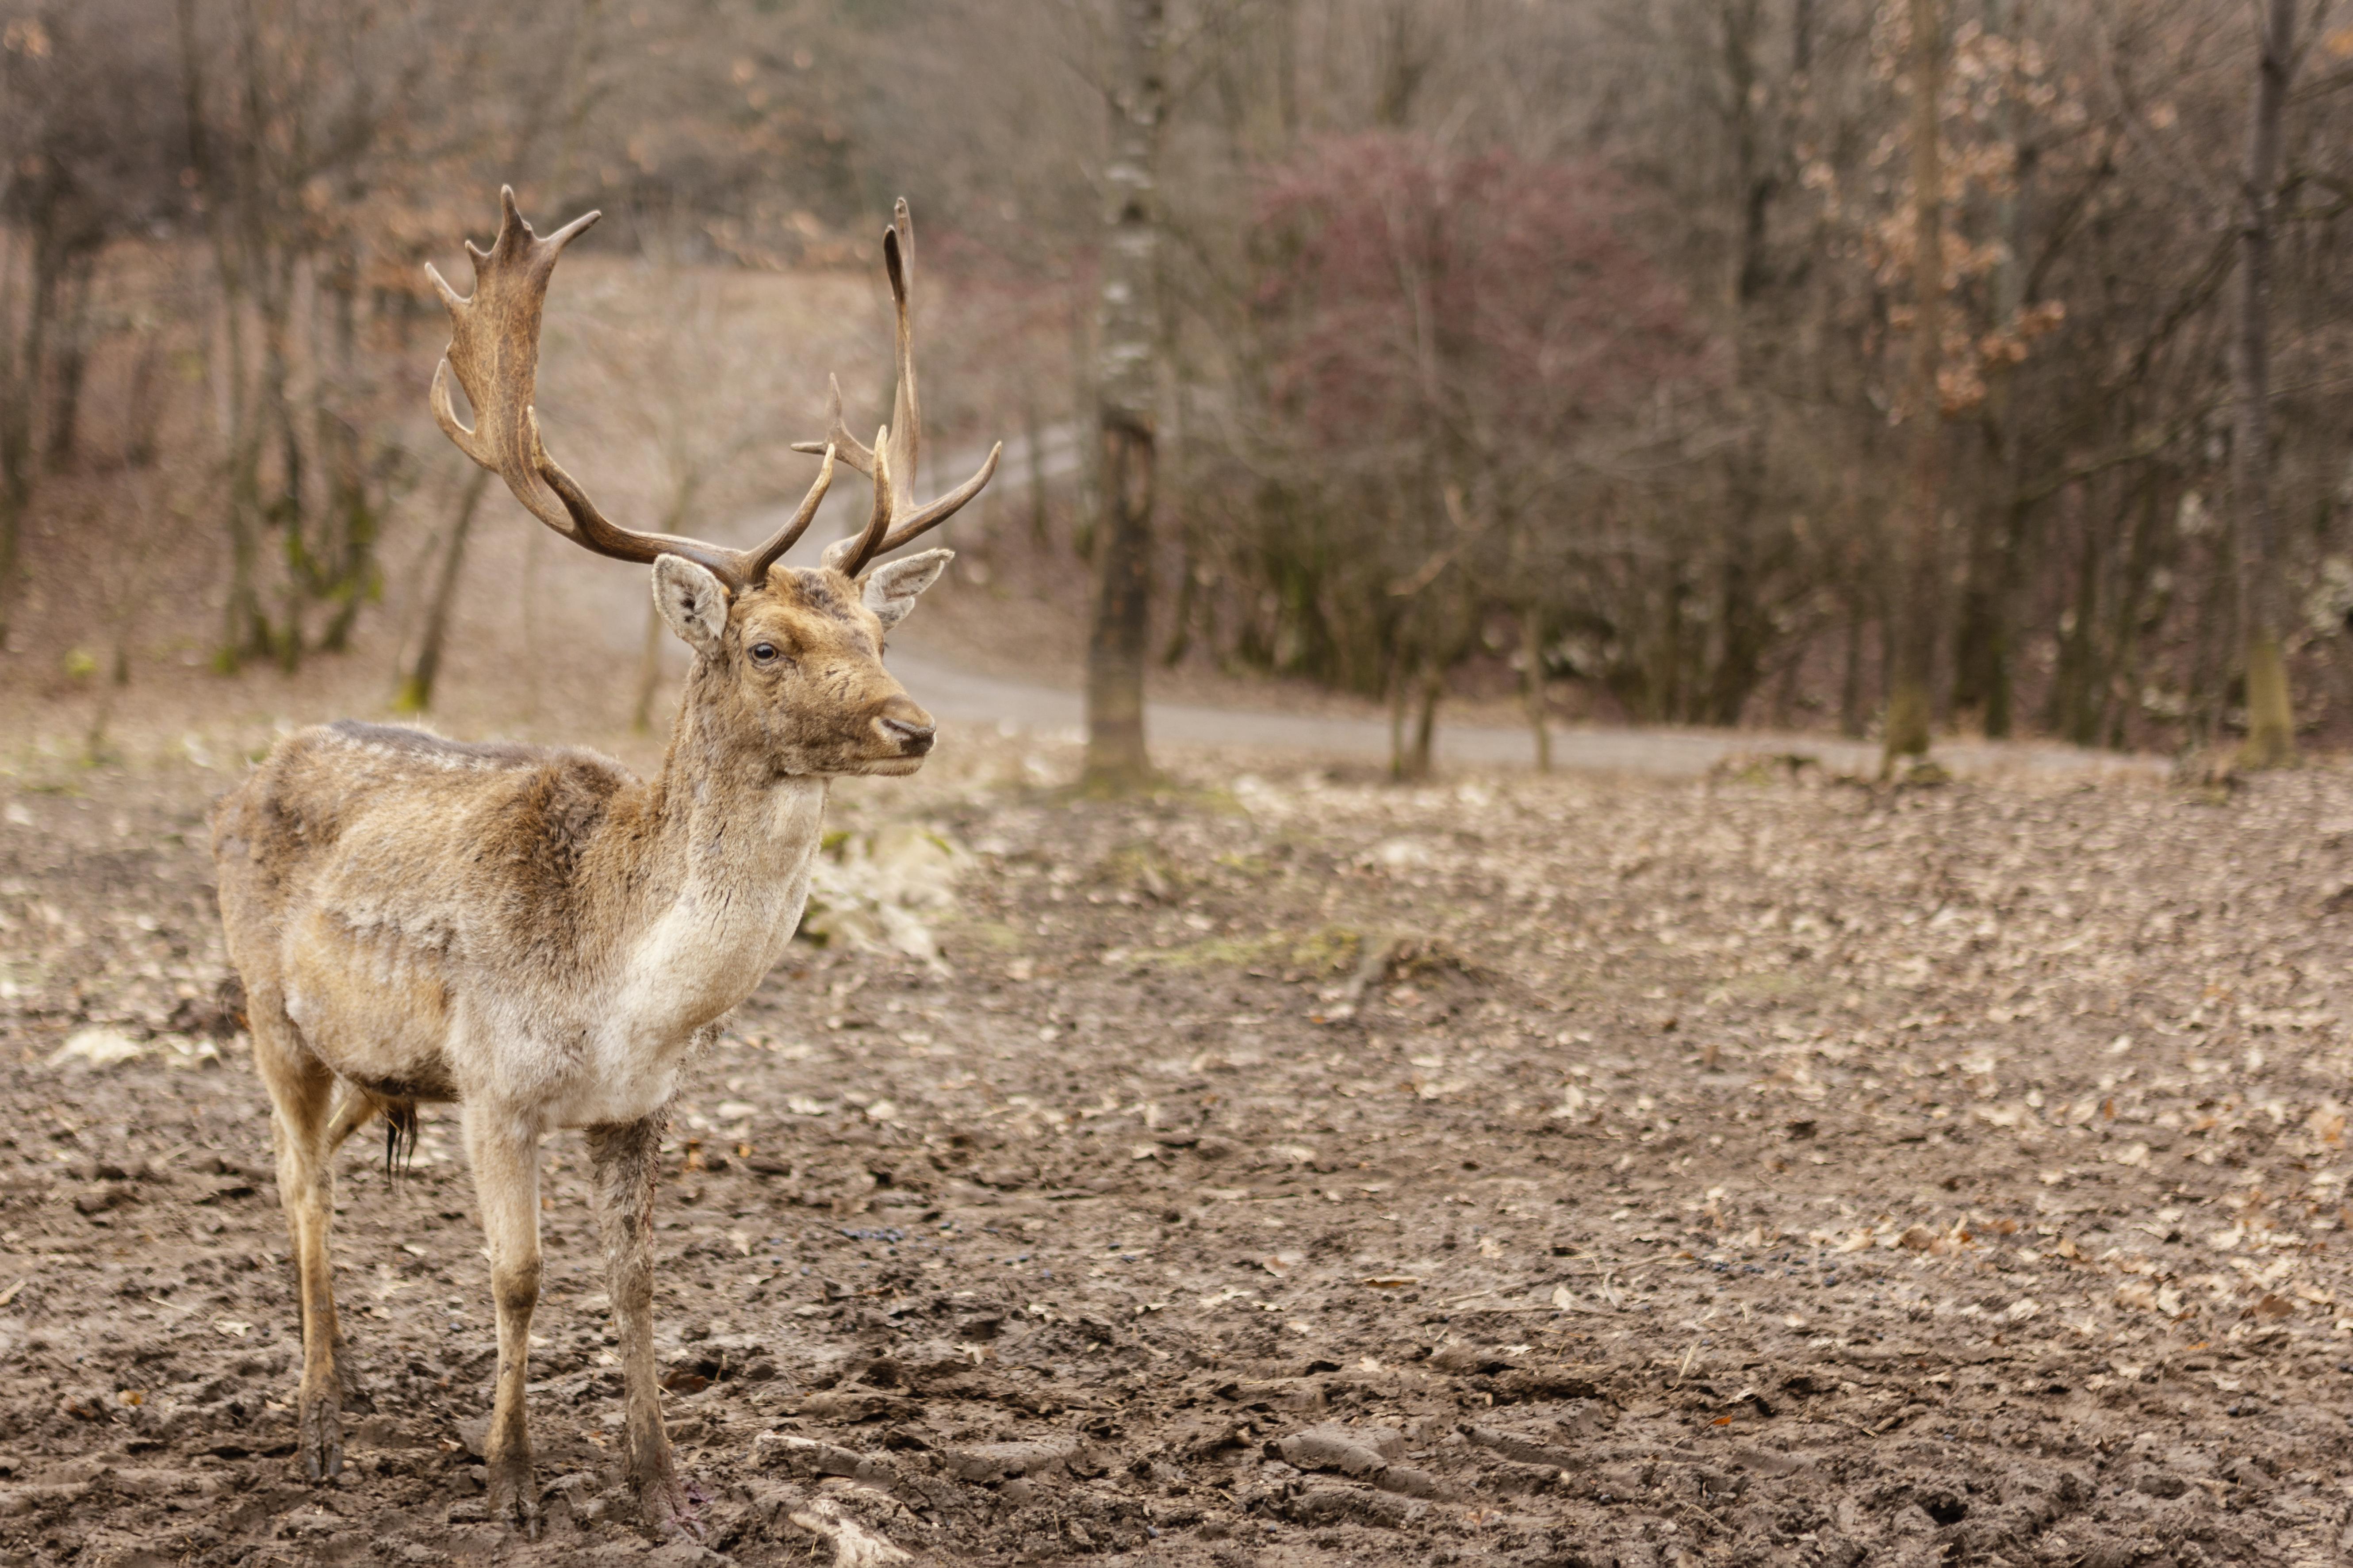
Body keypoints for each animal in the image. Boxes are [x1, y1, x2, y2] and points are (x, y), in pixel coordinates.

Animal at [211, 190, 1002, 1542]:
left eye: (879, 632)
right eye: (764, 645)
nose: (913, 726)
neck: (621, 994)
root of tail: (262, 760)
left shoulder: (640, 1105)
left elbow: (636, 1284)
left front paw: (664, 1488)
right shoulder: (493, 1081)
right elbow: (519, 1276)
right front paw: (514, 1484)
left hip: (379, 1060)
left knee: (318, 1166)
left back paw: (350, 1382)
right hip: (269, 1008)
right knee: (297, 1178)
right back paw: (317, 1428)